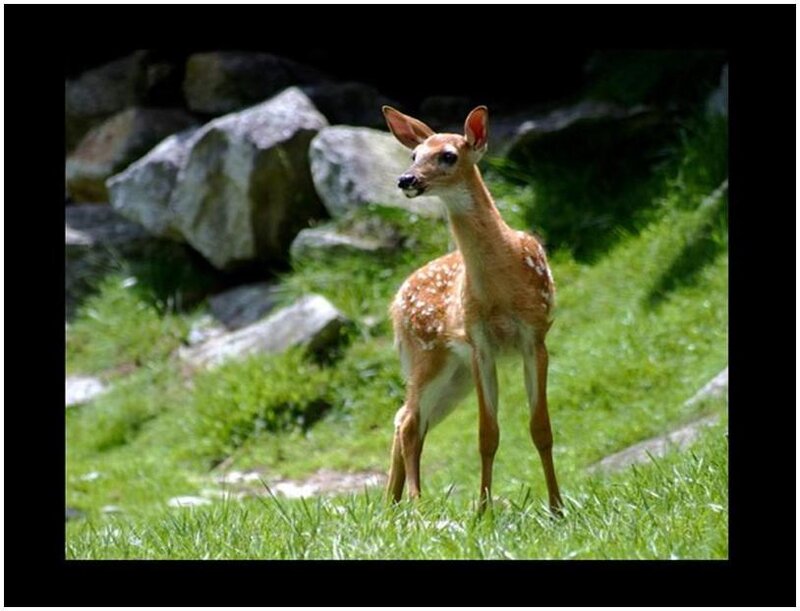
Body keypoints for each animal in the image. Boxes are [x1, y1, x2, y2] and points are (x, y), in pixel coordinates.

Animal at [382, 104, 563, 514]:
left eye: (448, 155)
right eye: (413, 155)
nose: (406, 179)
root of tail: (395, 304)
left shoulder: (534, 336)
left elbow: (541, 428)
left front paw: (558, 507)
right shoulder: (480, 343)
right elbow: (487, 434)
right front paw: (483, 511)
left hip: (455, 375)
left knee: (406, 417)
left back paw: (391, 506)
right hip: (428, 355)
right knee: (409, 421)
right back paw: (415, 505)